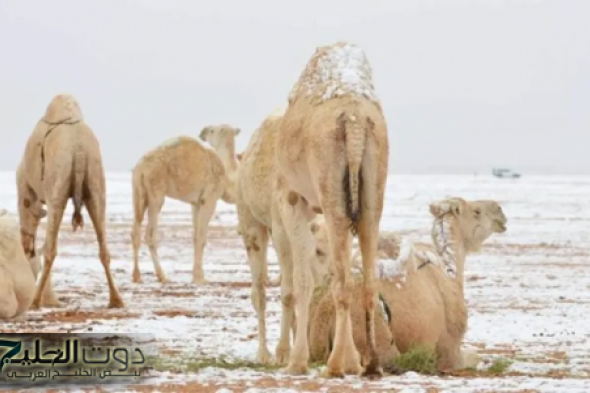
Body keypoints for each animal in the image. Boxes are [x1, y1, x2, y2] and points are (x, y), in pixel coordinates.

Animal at [16, 93, 125, 308]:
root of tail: (80, 148)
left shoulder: (25, 186)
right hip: (96, 177)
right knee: (103, 244)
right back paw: (116, 301)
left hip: (58, 177)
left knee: (50, 247)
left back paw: (35, 301)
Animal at [132, 124, 240, 284]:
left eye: (212, 130)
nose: (203, 131)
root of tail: (141, 168)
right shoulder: (210, 199)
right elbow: (201, 237)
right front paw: (200, 278)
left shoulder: (196, 203)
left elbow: (195, 237)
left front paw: (197, 275)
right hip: (156, 193)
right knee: (150, 234)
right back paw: (162, 276)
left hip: (138, 192)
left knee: (135, 231)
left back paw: (136, 276)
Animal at [235, 106, 330, 362]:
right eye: (319, 251)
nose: (329, 277)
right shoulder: (282, 226)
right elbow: (288, 290)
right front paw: (284, 351)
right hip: (250, 218)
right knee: (259, 290)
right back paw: (263, 353)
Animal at [276, 40, 390, 376]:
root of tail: (354, 120)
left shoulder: (292, 200)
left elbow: (304, 281)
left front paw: (297, 362)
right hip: (374, 181)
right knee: (365, 277)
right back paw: (370, 364)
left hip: (329, 184)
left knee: (341, 281)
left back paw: (336, 364)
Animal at [310, 198, 508, 372]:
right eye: (476, 211)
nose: (500, 211)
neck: (449, 271)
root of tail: (324, 314)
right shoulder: (449, 347)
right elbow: (471, 356)